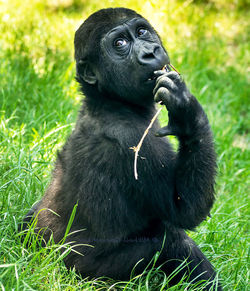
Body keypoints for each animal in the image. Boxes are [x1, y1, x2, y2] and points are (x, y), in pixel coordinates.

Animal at [21, 8, 221, 290]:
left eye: (142, 32)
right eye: (119, 44)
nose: (149, 52)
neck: (108, 101)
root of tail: (41, 259)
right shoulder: (134, 140)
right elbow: (186, 209)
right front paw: (187, 112)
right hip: (87, 276)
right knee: (170, 241)